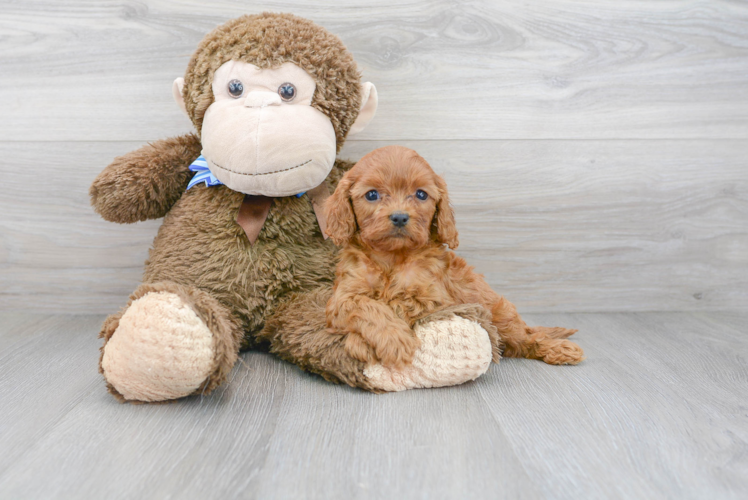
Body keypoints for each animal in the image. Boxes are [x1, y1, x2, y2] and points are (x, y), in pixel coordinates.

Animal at [324, 145, 588, 368]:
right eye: (371, 195)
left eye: (421, 194)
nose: (399, 217)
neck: (392, 257)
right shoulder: (342, 297)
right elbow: (369, 306)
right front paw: (387, 340)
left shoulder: (432, 299)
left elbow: (394, 304)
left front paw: (375, 342)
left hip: (502, 315)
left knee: (527, 338)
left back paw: (559, 349)